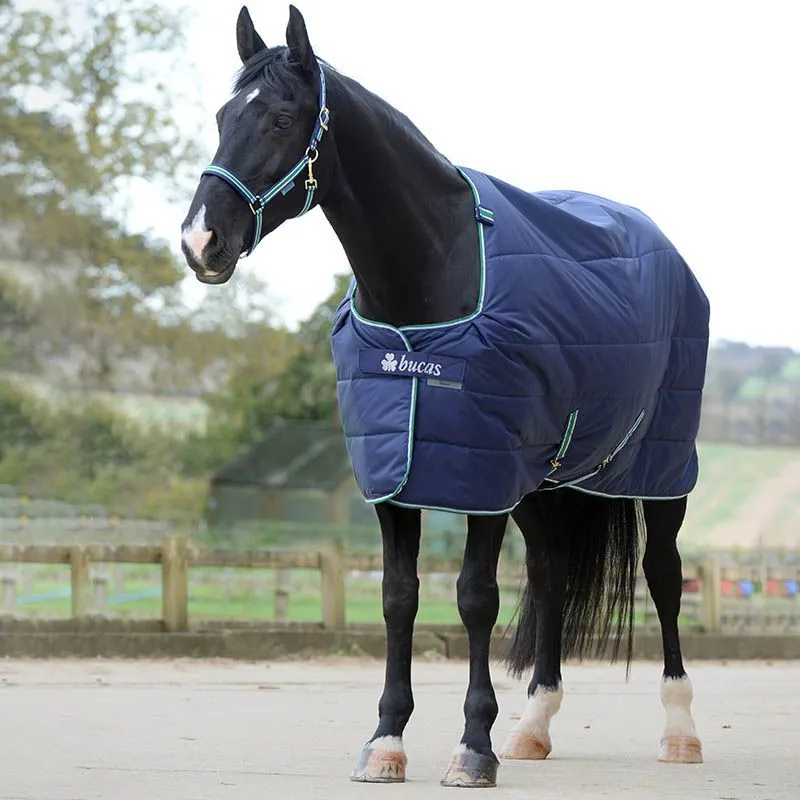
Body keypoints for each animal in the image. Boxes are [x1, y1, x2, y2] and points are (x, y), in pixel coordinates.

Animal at [181, 5, 710, 788]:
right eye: (222, 116)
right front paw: (386, 741)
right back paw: (535, 723)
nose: (200, 241)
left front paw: (473, 747)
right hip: (542, 483)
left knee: (664, 576)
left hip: (662, 468)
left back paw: (679, 731)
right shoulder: (399, 475)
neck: (427, 285)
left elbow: (474, 598)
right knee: (551, 576)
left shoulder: (479, 474)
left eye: (279, 118)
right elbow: (398, 597)